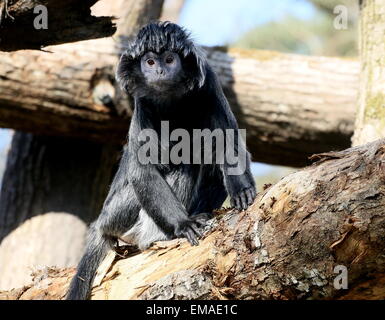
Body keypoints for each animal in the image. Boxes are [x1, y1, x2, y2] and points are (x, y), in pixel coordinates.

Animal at [67, 21, 255, 300]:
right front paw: (183, 224)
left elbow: (227, 139)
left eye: (169, 59)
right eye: (150, 62)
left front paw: (241, 188)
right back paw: (159, 238)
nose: (160, 71)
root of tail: (100, 224)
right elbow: (143, 172)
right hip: (118, 213)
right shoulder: (142, 104)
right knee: (183, 165)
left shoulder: (208, 84)